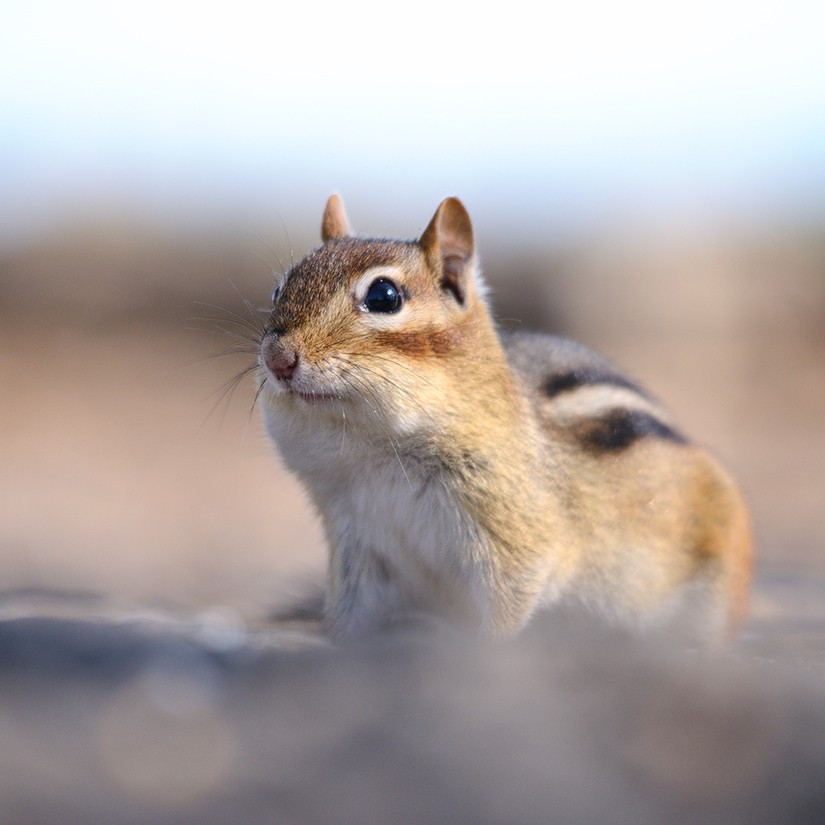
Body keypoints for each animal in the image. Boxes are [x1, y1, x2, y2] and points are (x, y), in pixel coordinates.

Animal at [258, 195, 752, 642]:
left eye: (384, 295)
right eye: (279, 289)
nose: (277, 358)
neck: (373, 453)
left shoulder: (516, 536)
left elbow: (509, 603)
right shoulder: (357, 541)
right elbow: (350, 616)